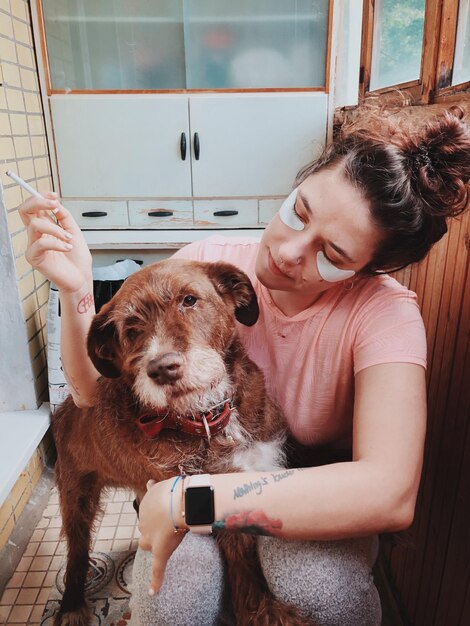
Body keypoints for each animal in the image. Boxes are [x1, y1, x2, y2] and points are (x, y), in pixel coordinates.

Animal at [52, 256, 308, 620]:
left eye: (189, 300)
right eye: (131, 328)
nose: (162, 368)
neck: (208, 419)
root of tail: (65, 407)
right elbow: (242, 560)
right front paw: (264, 611)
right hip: (76, 492)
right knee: (76, 549)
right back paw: (72, 604)